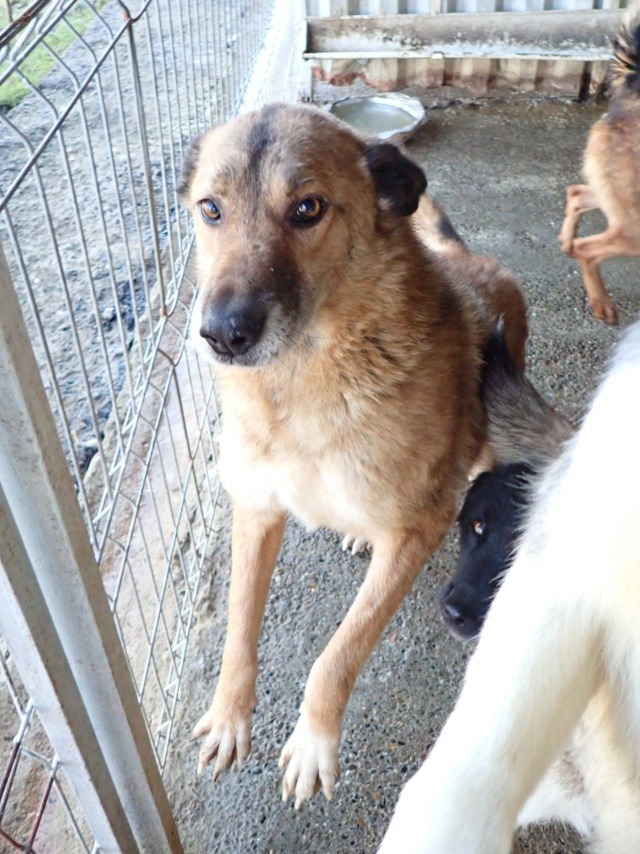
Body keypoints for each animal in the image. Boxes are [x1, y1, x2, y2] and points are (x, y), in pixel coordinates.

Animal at [177, 103, 528, 807]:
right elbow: (238, 629)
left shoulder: (417, 532)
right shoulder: (256, 510)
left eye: (308, 209)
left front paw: (314, 742)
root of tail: (475, 260)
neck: (300, 386)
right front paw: (229, 716)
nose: (221, 335)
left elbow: (338, 653)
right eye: (210, 209)